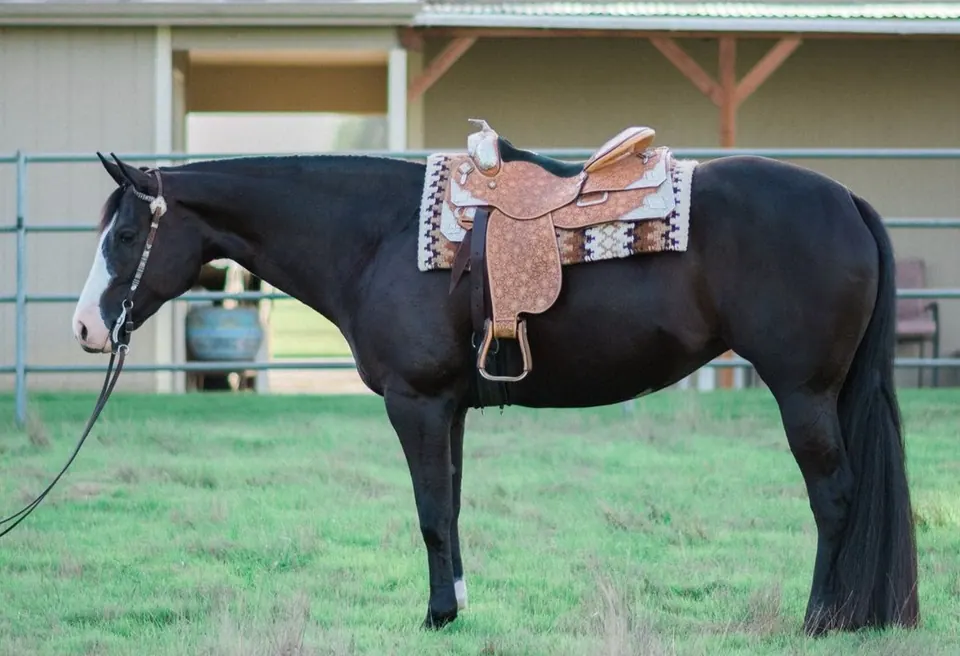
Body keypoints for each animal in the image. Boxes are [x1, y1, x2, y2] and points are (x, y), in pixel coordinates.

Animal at [69, 127, 918, 636]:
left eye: (126, 232)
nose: (85, 329)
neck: (375, 237)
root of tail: (846, 199)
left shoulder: (415, 404)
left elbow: (428, 514)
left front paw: (436, 615)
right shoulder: (450, 407)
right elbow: (450, 506)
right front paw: (458, 607)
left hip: (803, 393)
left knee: (834, 498)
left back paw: (820, 619)